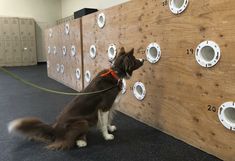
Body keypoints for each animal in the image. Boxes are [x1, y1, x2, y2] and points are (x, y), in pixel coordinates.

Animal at [7, 47, 143, 150]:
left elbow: (109, 119)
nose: (143, 59)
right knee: (67, 141)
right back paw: (81, 141)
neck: (116, 74)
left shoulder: (109, 107)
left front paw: (110, 129)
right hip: (82, 122)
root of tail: (55, 129)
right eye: (135, 59)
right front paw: (107, 136)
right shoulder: (104, 106)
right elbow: (104, 123)